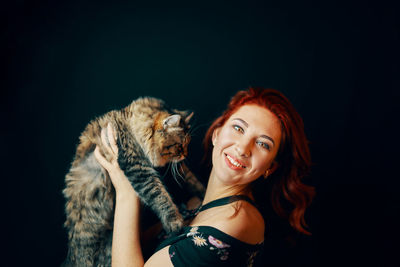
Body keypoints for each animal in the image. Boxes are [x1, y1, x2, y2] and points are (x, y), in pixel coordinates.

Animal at [63, 97, 205, 266]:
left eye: (187, 145)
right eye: (180, 146)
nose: (185, 155)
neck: (129, 122)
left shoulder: (174, 169)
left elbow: (192, 180)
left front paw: (203, 192)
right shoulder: (138, 168)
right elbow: (161, 198)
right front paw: (175, 223)